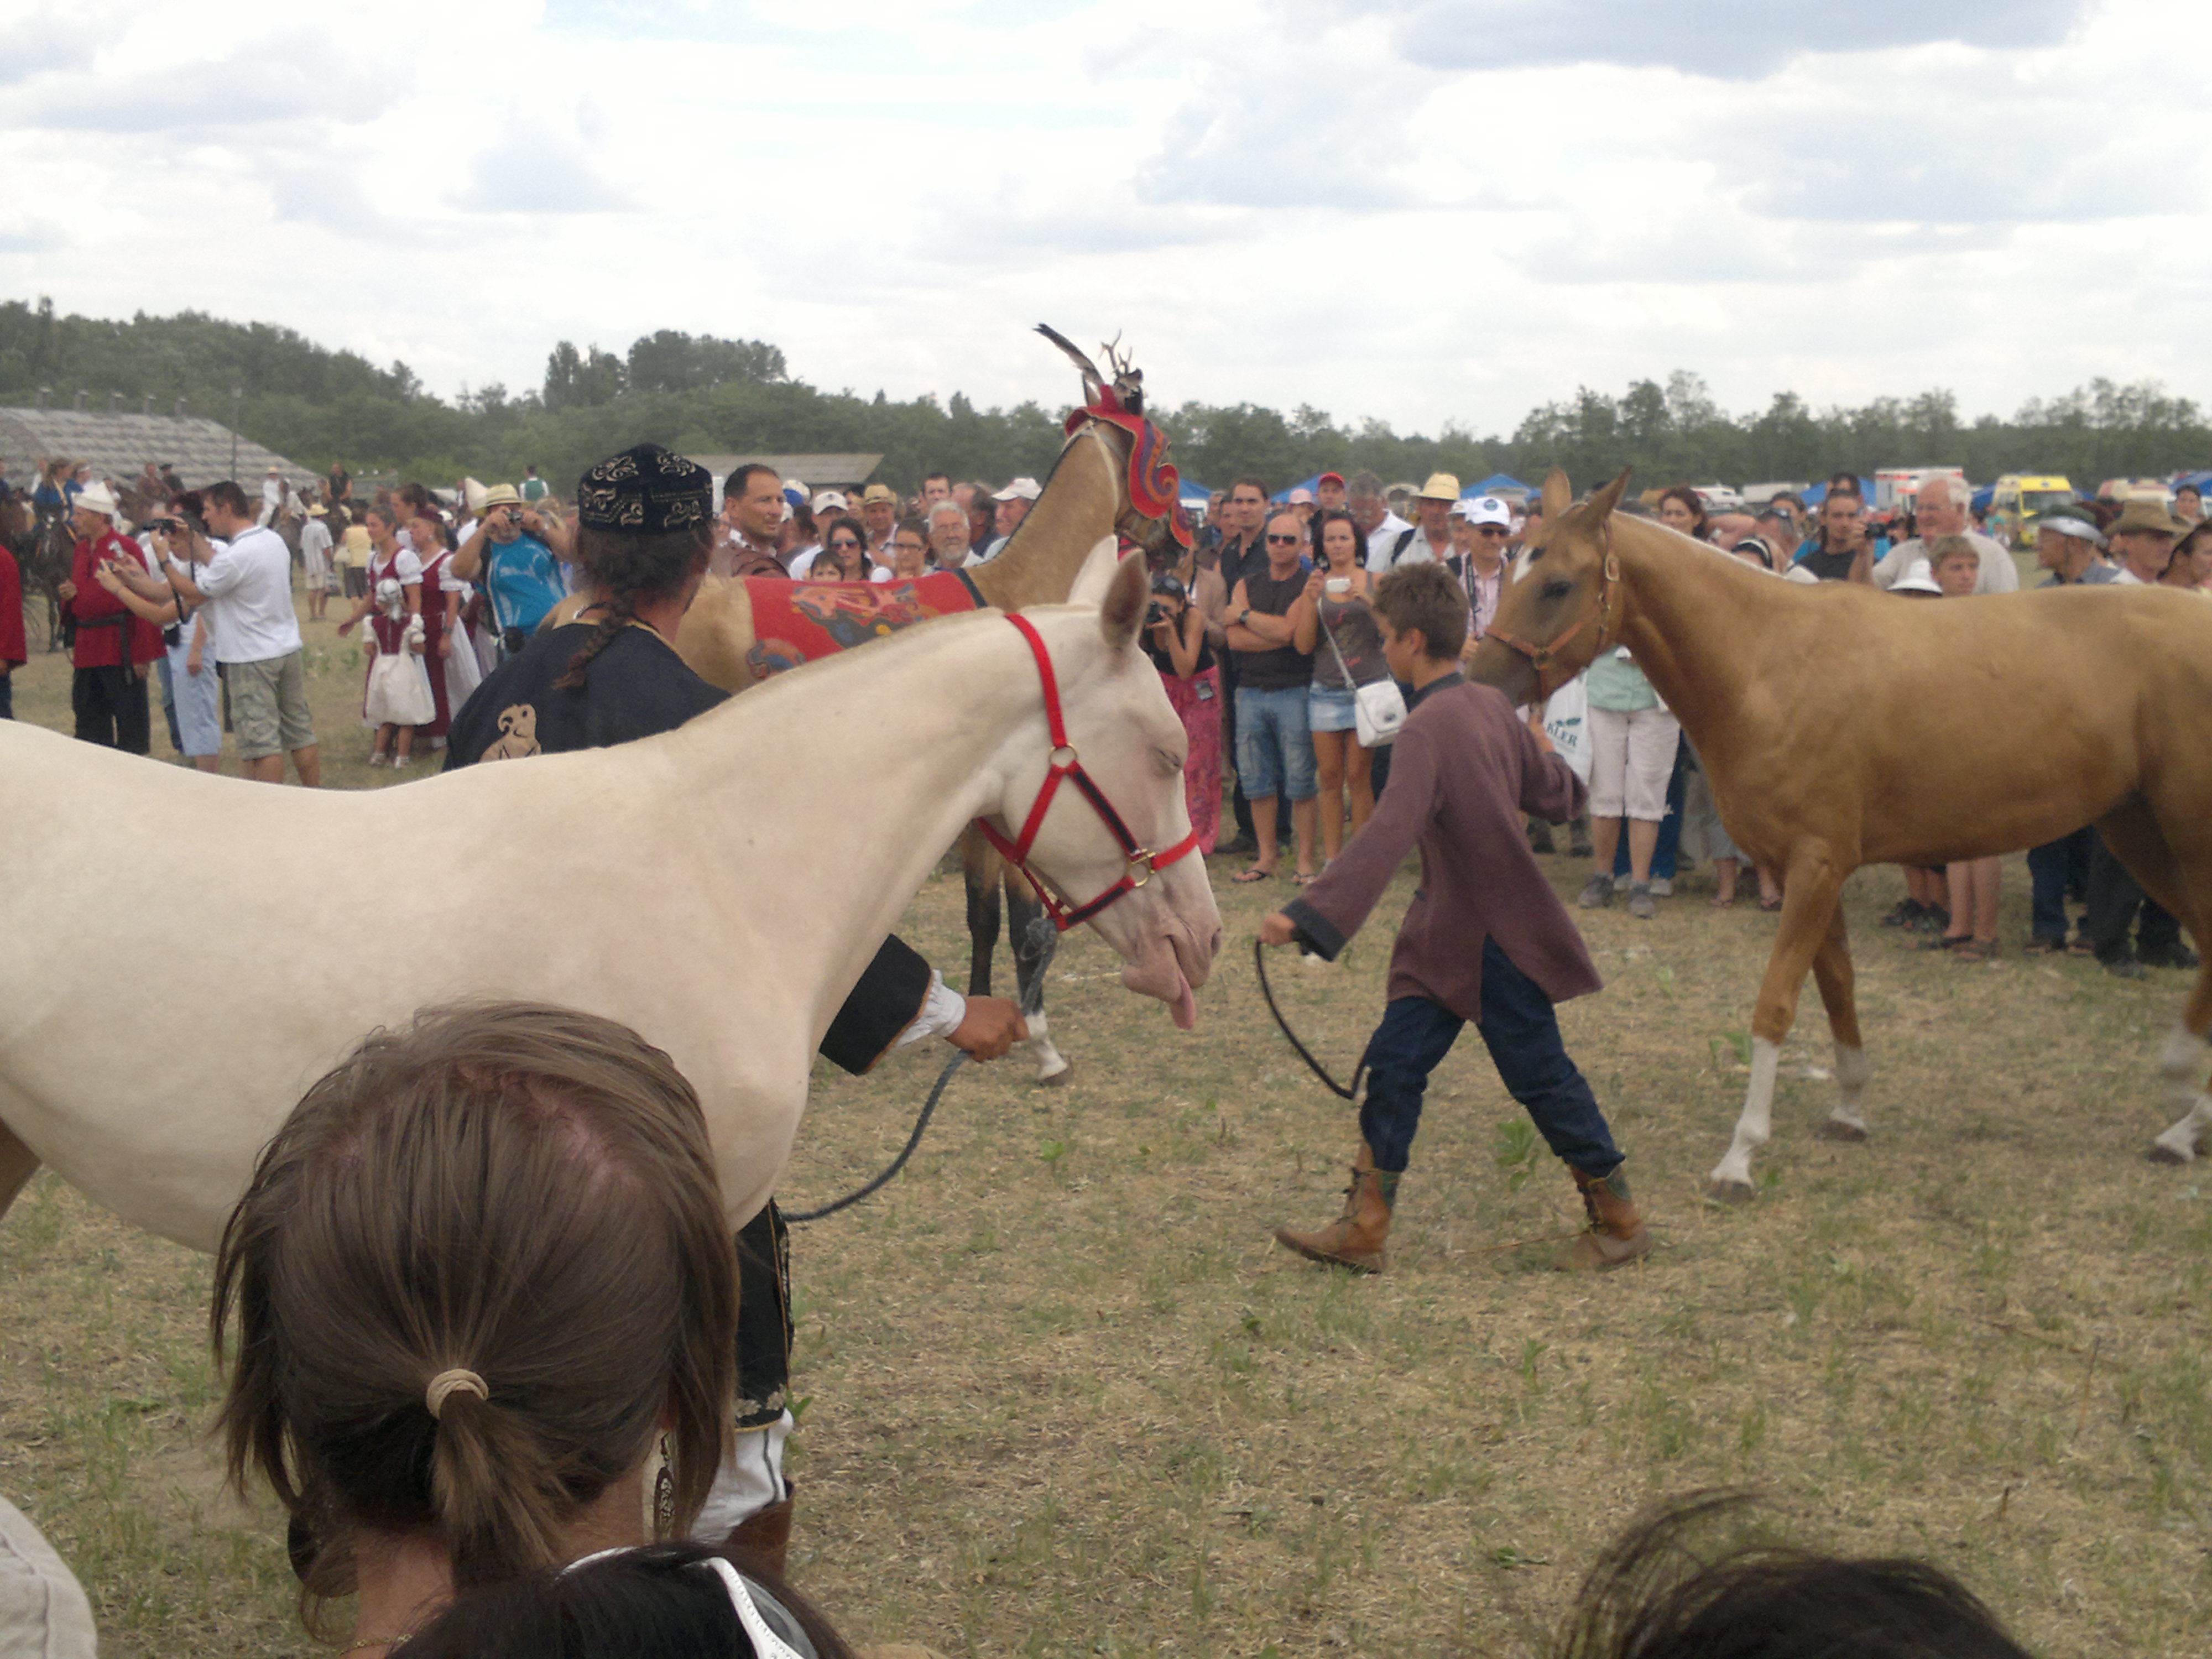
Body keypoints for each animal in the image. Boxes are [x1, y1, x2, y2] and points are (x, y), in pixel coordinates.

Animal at [654, 326, 1196, 1086]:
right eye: (1168, 455)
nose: (1181, 543)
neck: (1018, 592)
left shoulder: (980, 815)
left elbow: (982, 918)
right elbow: (1023, 929)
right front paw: (1040, 1042)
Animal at [1466, 469, 2212, 1201]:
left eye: (1556, 584)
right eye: (1512, 567)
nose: (1481, 686)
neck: (1766, 663)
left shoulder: (1815, 867)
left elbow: (1776, 1005)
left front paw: (1740, 1157)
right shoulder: (1817, 870)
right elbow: (1838, 988)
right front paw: (1849, 1111)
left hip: (2185, 835)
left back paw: (2183, 1121)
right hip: (2138, 832)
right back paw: (2186, 1106)